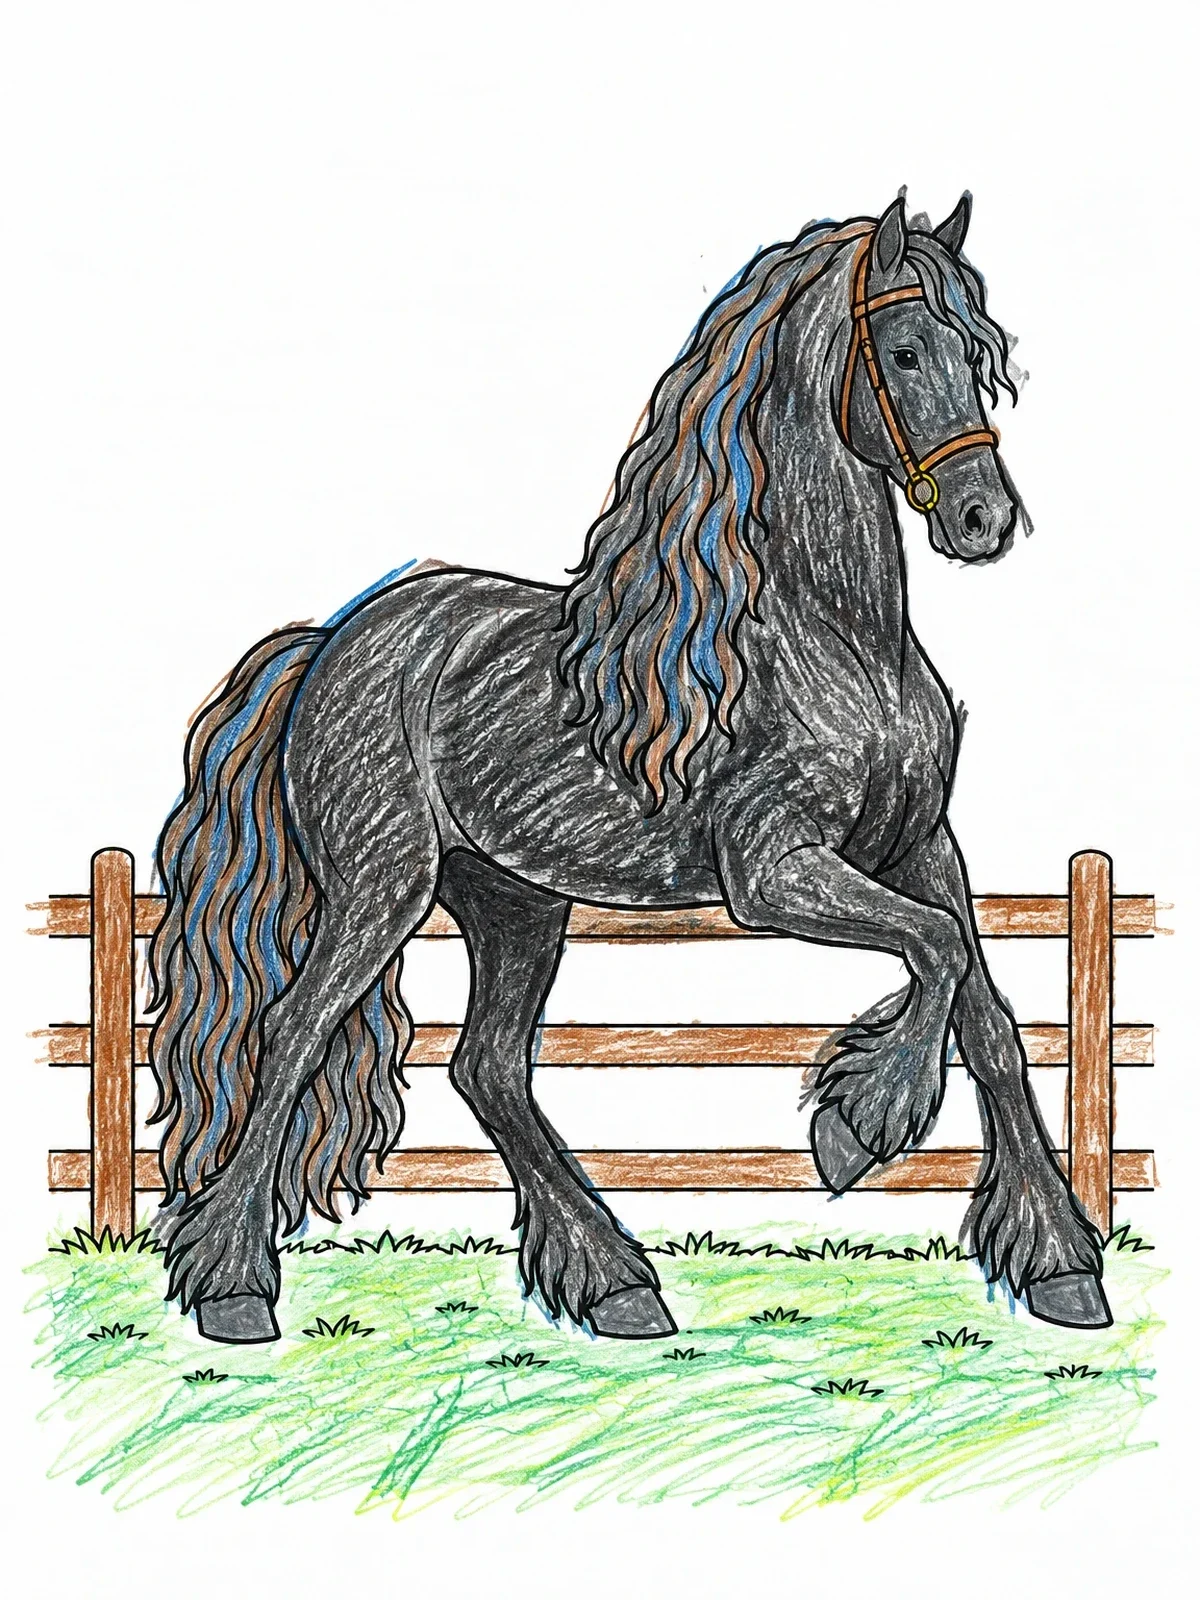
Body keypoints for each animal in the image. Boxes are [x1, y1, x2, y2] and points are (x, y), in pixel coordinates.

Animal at [149, 193, 1111, 1346]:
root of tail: (330, 643)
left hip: (513, 901)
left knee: (486, 1066)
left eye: (979, 354)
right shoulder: (773, 871)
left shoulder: (921, 846)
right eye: (905, 350)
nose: (984, 519)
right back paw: (236, 1290)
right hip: (383, 886)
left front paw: (1063, 1271)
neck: (836, 640)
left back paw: (617, 1287)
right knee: (295, 1030)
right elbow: (935, 951)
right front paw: (856, 1126)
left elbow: (989, 1012)